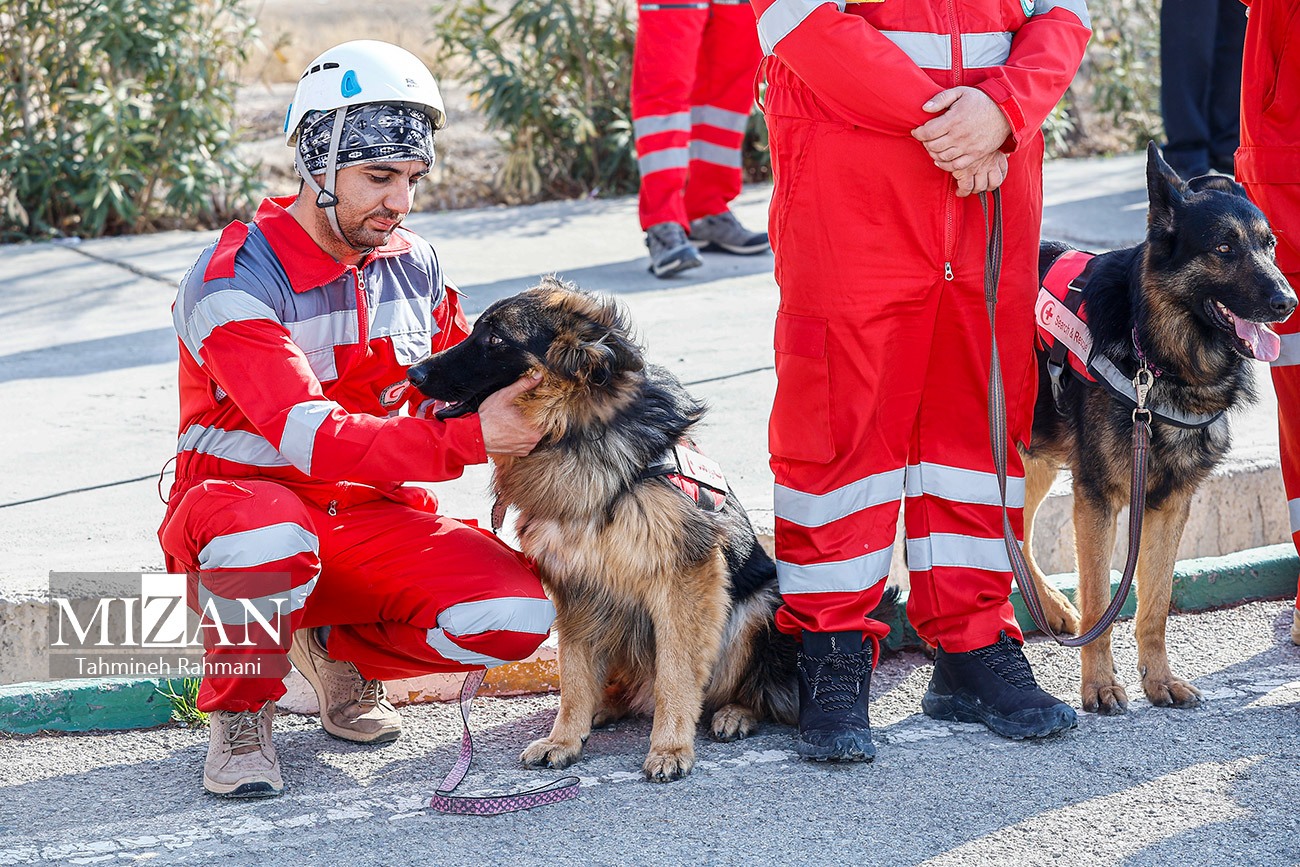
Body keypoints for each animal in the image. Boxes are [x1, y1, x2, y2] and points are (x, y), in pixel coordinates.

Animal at [410, 282, 806, 785]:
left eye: (495, 339)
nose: (413, 371)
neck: (573, 430)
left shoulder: (685, 579)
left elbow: (676, 673)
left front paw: (670, 747)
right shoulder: (574, 587)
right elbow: (575, 675)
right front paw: (564, 738)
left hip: (760, 606)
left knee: (754, 689)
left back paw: (735, 712)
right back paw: (606, 706)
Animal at [1024, 144, 1289, 712]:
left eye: (1270, 245)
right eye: (1224, 248)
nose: (1288, 303)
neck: (1158, 354)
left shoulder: (1170, 503)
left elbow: (1155, 603)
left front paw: (1159, 679)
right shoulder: (1096, 500)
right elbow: (1101, 602)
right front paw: (1100, 685)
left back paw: (1050, 606)